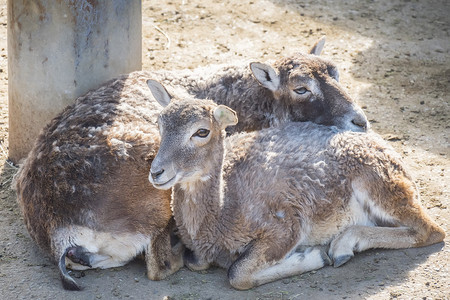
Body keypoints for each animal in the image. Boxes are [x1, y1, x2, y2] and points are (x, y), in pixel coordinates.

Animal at [149, 80, 446, 290]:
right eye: (159, 124)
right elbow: (196, 262)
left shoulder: (286, 225)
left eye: (202, 131)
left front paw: (313, 256)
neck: (223, 211)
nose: (157, 172)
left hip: (380, 183)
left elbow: (238, 273)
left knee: (432, 230)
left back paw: (342, 247)